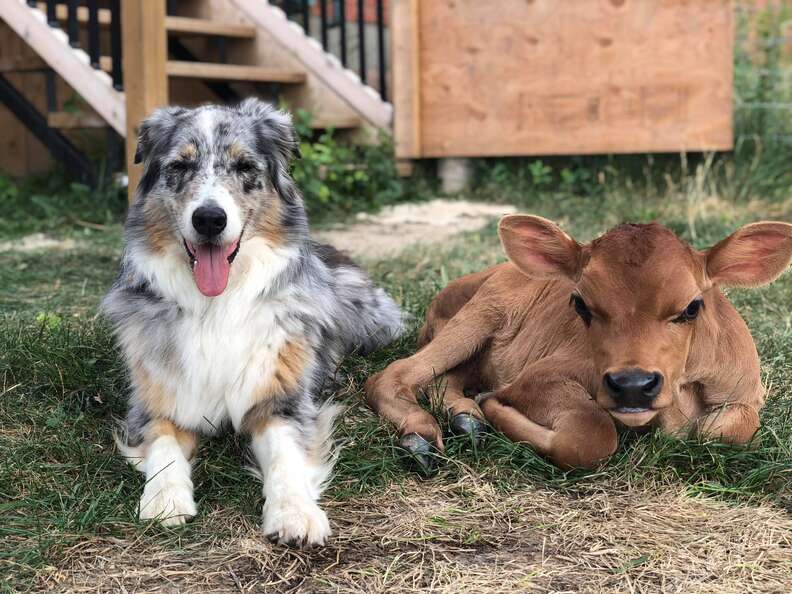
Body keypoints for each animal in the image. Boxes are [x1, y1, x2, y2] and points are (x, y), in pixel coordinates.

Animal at [366, 215, 792, 470]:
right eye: (581, 304)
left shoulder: (747, 393)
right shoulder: (539, 377)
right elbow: (591, 434)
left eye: (692, 307)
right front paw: (497, 408)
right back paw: (421, 434)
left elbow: (725, 431)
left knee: (444, 379)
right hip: (477, 316)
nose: (632, 385)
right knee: (392, 375)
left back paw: (466, 418)